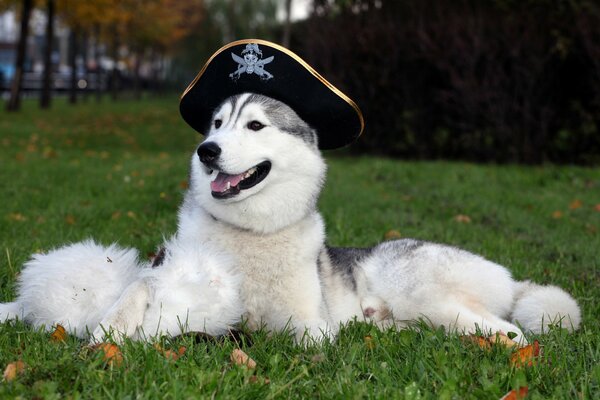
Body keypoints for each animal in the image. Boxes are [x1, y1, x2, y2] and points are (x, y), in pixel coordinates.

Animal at [179, 92, 580, 342]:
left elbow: (308, 341)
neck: (251, 232)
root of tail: (509, 279)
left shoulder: (313, 324)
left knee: (511, 332)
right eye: (217, 123)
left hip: (423, 296)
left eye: (255, 126)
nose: (206, 151)